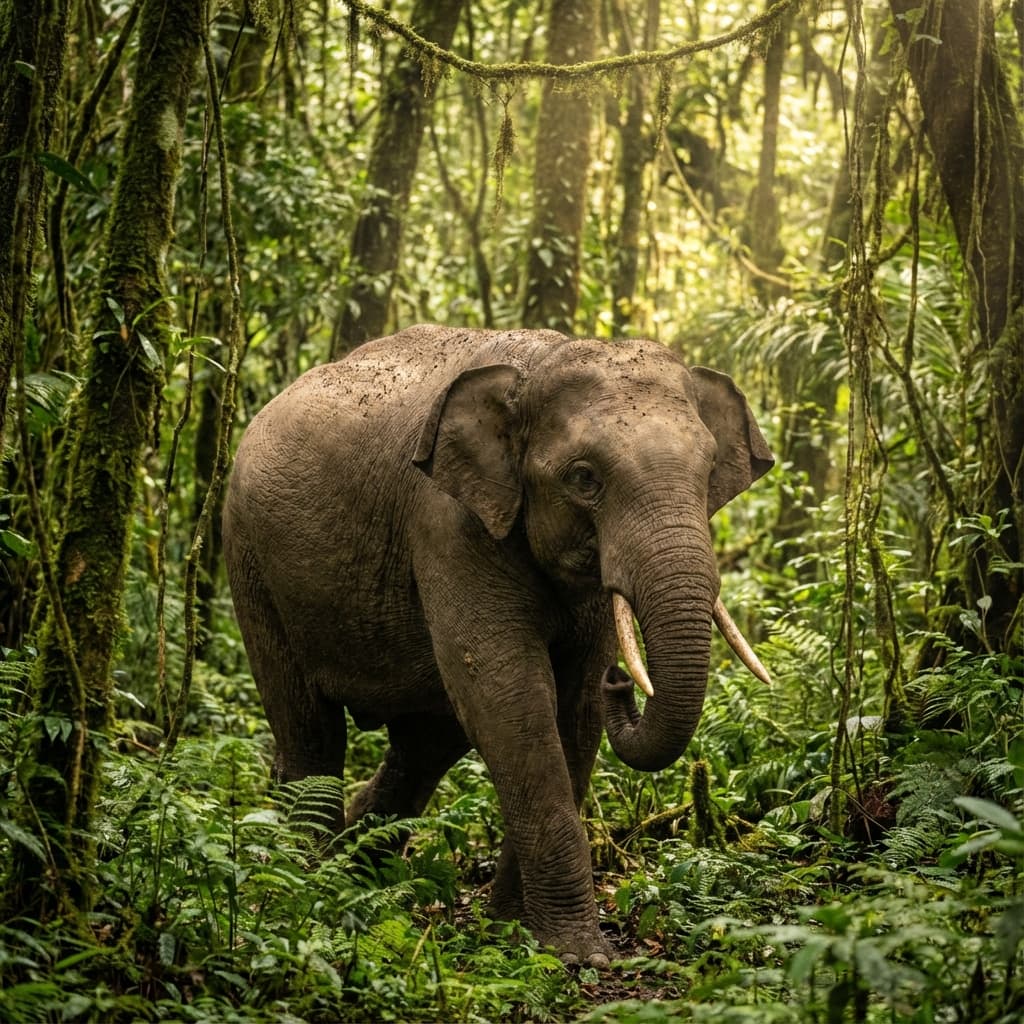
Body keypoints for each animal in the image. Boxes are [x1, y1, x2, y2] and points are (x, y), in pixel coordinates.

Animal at [222, 324, 773, 966]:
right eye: (584, 478)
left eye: (709, 472)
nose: (621, 680)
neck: (537, 366)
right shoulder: (449, 524)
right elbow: (510, 697)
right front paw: (576, 954)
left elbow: (574, 710)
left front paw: (515, 932)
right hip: (251, 562)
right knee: (311, 729)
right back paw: (303, 884)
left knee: (426, 744)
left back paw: (352, 871)